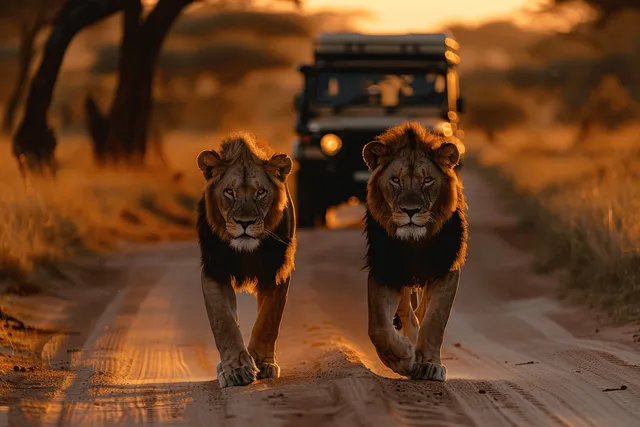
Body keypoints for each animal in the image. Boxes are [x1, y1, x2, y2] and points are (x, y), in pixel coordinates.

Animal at [196, 132, 296, 388]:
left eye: (260, 192)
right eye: (229, 192)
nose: (245, 222)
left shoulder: (276, 271)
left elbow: (267, 320)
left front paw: (261, 363)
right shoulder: (214, 270)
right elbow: (224, 323)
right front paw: (236, 370)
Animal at [362, 121, 468, 382]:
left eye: (428, 179)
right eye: (395, 180)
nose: (411, 210)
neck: (414, 242)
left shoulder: (445, 268)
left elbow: (434, 321)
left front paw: (429, 365)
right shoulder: (386, 270)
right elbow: (378, 327)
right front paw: (402, 358)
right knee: (407, 313)